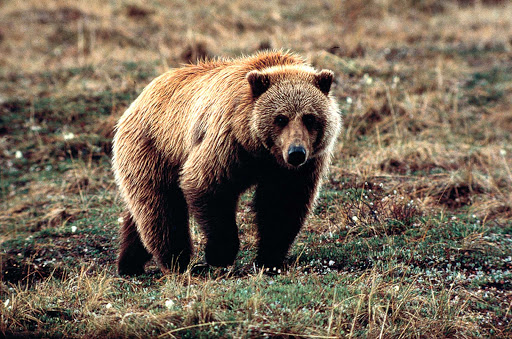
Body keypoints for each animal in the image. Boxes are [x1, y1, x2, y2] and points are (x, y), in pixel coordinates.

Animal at [114, 51, 342, 278]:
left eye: (310, 118)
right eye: (280, 118)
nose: (296, 153)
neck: (260, 152)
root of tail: (137, 100)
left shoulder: (295, 168)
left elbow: (283, 203)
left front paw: (270, 259)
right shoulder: (227, 141)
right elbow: (206, 185)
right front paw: (220, 253)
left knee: (142, 214)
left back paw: (130, 262)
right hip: (154, 150)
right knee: (161, 208)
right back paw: (177, 261)